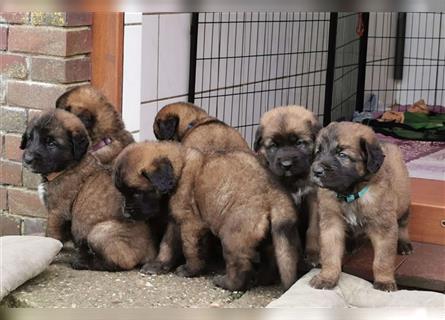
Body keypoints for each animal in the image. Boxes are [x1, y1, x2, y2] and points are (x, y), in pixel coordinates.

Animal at [20, 109, 156, 270]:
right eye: (30, 138)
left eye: (51, 143)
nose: (27, 159)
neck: (68, 166)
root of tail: (151, 251)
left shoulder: (57, 212)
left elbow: (52, 235)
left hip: (100, 231)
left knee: (120, 262)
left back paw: (84, 262)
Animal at [112, 141, 300, 292]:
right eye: (123, 192)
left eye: (137, 193)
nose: (126, 213)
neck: (179, 171)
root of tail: (273, 193)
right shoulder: (176, 222)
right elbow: (167, 245)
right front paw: (159, 265)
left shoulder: (191, 224)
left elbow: (190, 249)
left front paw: (190, 270)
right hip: (266, 236)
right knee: (270, 258)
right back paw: (261, 279)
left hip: (233, 233)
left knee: (239, 263)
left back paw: (228, 284)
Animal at [253, 106, 322, 266]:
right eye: (273, 146)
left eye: (299, 143)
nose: (286, 165)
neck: (295, 179)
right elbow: (292, 234)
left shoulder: (313, 197)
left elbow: (313, 228)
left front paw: (313, 254)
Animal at [308, 121, 410, 292]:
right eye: (318, 152)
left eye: (342, 155)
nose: (316, 171)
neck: (349, 193)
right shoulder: (331, 223)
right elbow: (330, 254)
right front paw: (327, 277)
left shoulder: (383, 226)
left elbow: (383, 259)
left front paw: (384, 281)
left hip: (404, 202)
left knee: (403, 223)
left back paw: (404, 244)